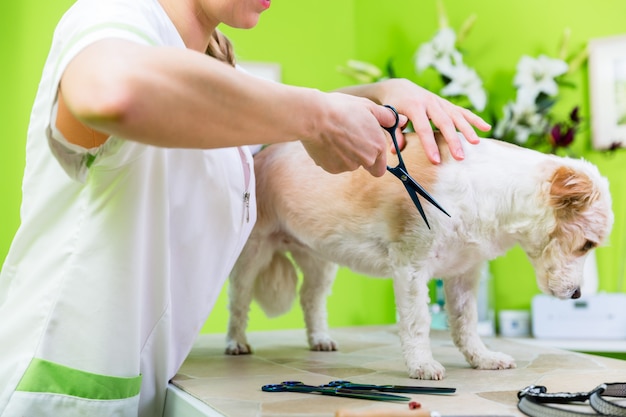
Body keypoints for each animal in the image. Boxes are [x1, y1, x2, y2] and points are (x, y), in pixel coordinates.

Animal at [223, 132, 608, 378]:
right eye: (588, 245)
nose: (577, 295)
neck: (489, 191)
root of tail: (262, 155)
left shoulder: (464, 274)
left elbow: (466, 325)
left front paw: (481, 358)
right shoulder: (410, 266)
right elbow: (417, 323)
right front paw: (421, 365)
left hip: (318, 259)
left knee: (310, 298)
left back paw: (319, 338)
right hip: (251, 255)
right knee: (239, 303)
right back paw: (235, 342)